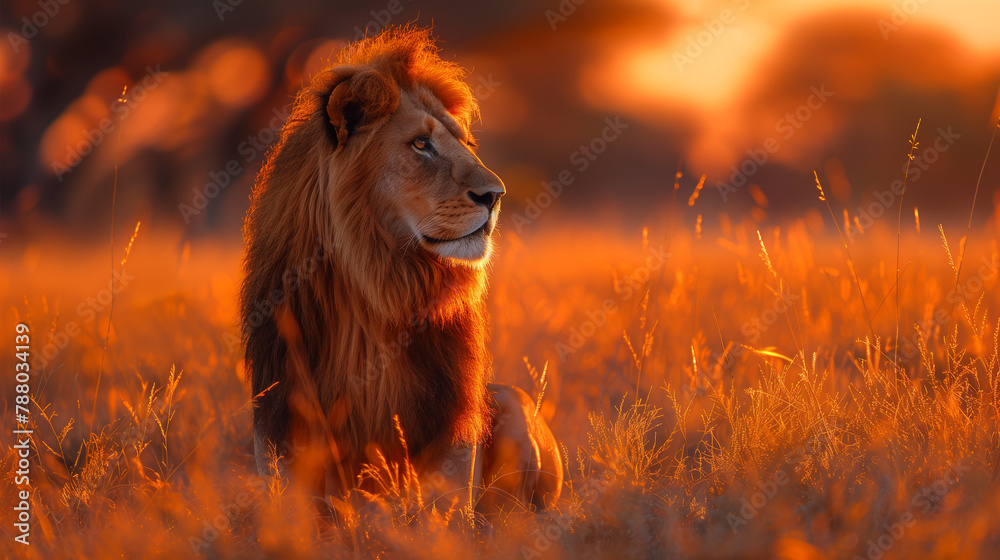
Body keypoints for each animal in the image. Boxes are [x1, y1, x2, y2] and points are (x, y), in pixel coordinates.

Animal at [240, 27, 562, 513]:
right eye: (421, 145)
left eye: (466, 145)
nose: (496, 195)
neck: (380, 287)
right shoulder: (282, 441)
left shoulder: (452, 446)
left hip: (509, 399)